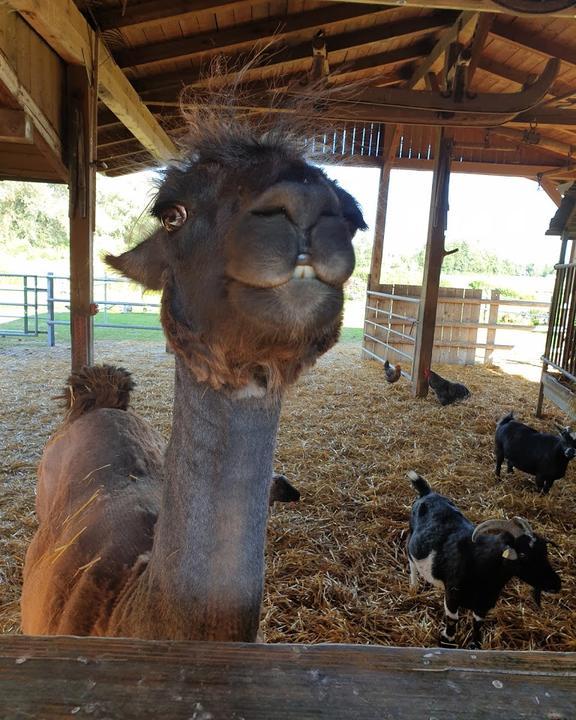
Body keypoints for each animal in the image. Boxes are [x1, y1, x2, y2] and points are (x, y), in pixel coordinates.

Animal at [408, 470, 560, 648]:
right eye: (523, 555)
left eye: (545, 552)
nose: (556, 584)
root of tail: (427, 493)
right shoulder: (452, 596)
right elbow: (452, 620)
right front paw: (447, 640)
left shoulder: (484, 604)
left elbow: (477, 624)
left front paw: (474, 645)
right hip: (411, 537)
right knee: (410, 559)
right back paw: (413, 586)